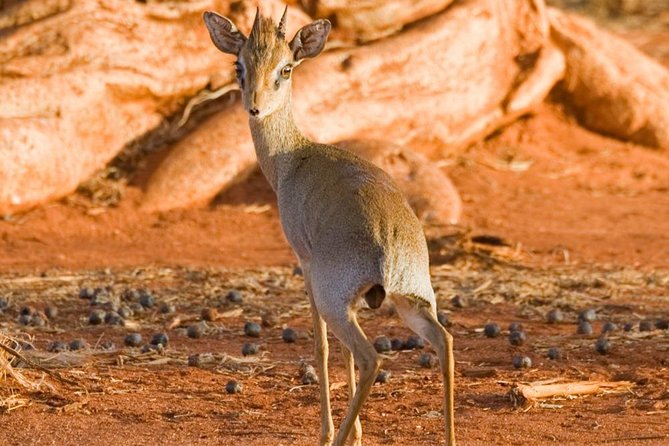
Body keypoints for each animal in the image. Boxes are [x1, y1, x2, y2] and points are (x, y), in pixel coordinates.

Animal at [204, 7, 454, 446]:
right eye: (239, 65)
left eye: (285, 68)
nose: (255, 108)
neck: (291, 159)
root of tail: (389, 241)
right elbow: (339, 354)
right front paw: (356, 433)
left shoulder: (305, 264)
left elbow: (320, 347)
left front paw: (332, 432)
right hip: (410, 299)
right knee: (444, 341)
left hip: (334, 299)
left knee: (370, 357)